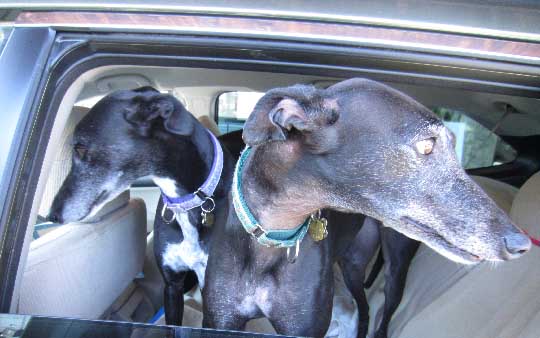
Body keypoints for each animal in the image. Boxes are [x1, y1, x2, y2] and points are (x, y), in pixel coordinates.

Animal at [204, 78, 532, 338]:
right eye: (427, 145)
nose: (521, 244)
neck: (272, 235)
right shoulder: (220, 318)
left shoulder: (304, 328)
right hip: (353, 262)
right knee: (362, 306)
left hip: (395, 262)